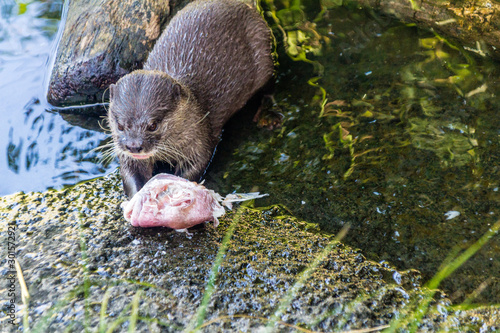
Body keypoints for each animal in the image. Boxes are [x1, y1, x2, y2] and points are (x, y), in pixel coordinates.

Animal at [108, 0, 276, 196]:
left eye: (153, 125)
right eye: (120, 125)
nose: (134, 146)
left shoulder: (200, 139)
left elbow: (196, 166)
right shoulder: (127, 155)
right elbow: (130, 171)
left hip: (263, 55)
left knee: (269, 86)